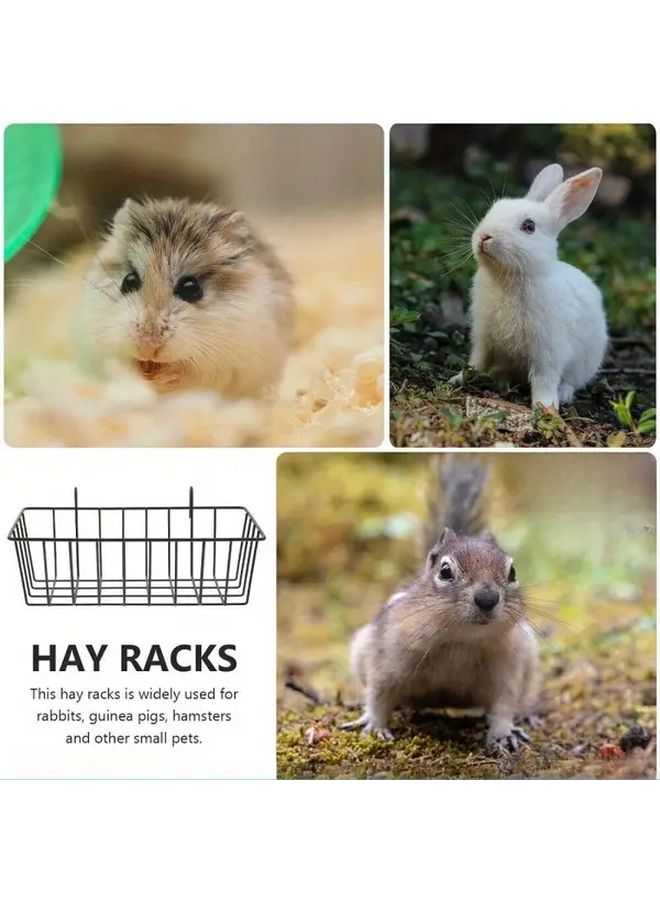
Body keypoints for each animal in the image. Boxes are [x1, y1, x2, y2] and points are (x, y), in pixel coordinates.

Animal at [450, 163, 608, 409]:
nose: (485, 236)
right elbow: (476, 361)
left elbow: (544, 378)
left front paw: (545, 407)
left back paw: (563, 394)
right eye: (493, 209)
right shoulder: (483, 338)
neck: (509, 277)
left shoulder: (548, 349)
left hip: (585, 362)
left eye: (528, 226)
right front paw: (458, 379)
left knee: (571, 381)